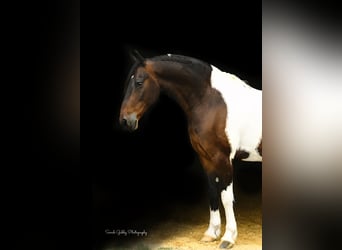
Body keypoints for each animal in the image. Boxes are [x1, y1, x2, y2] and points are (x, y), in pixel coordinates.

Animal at [118, 50, 262, 248]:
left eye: (139, 82)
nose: (125, 120)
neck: (210, 101)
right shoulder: (206, 158)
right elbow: (212, 193)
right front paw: (211, 233)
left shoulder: (223, 158)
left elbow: (226, 198)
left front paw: (228, 238)